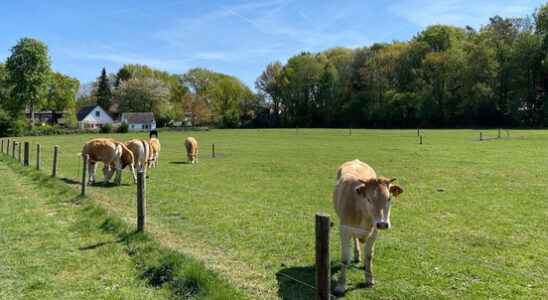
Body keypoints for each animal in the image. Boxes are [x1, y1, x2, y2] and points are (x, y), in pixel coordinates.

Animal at [330, 159, 402, 296]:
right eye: (368, 199)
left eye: (389, 198)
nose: (382, 224)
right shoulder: (344, 229)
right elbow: (344, 258)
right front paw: (340, 285)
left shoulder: (374, 232)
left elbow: (369, 255)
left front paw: (369, 278)